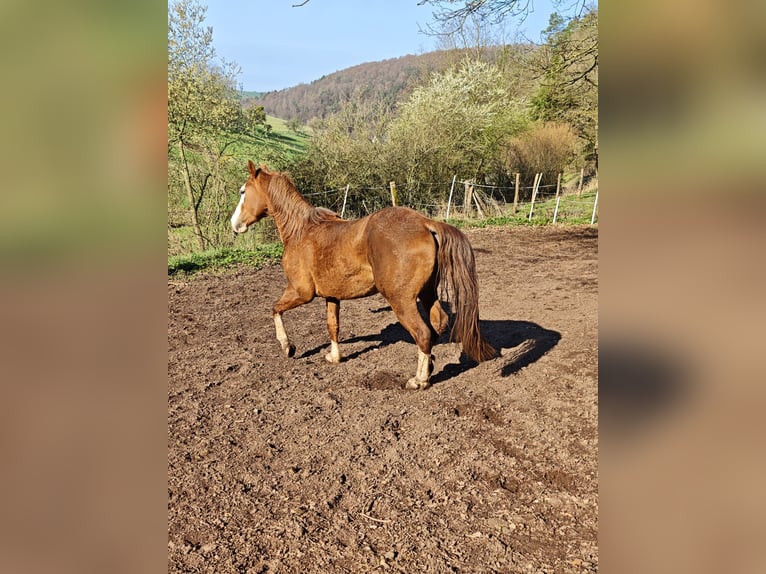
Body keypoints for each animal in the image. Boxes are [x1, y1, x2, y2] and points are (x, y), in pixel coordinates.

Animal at [230, 160, 497, 388]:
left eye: (243, 191)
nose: (234, 225)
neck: (301, 231)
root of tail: (425, 223)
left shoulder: (300, 292)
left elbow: (275, 309)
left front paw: (288, 347)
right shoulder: (332, 296)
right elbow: (333, 325)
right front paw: (334, 357)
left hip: (401, 300)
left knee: (423, 333)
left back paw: (419, 380)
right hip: (427, 292)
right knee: (436, 325)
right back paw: (429, 366)